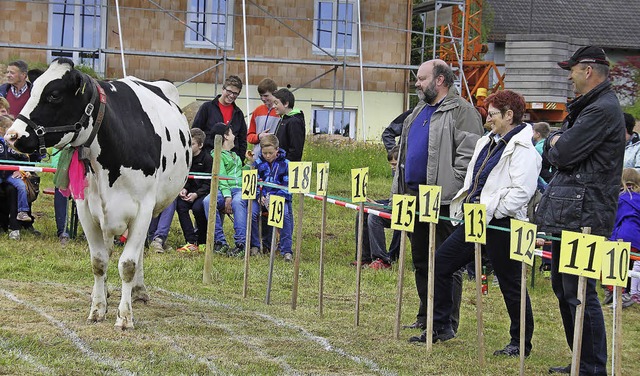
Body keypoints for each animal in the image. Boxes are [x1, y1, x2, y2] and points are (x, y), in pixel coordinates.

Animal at [5, 58, 191, 328]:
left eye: (53, 95)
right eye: (32, 90)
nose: (11, 136)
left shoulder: (143, 208)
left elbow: (128, 264)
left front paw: (124, 316)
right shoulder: (86, 208)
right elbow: (99, 261)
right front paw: (98, 307)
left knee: (137, 252)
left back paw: (138, 290)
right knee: (108, 251)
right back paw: (105, 292)